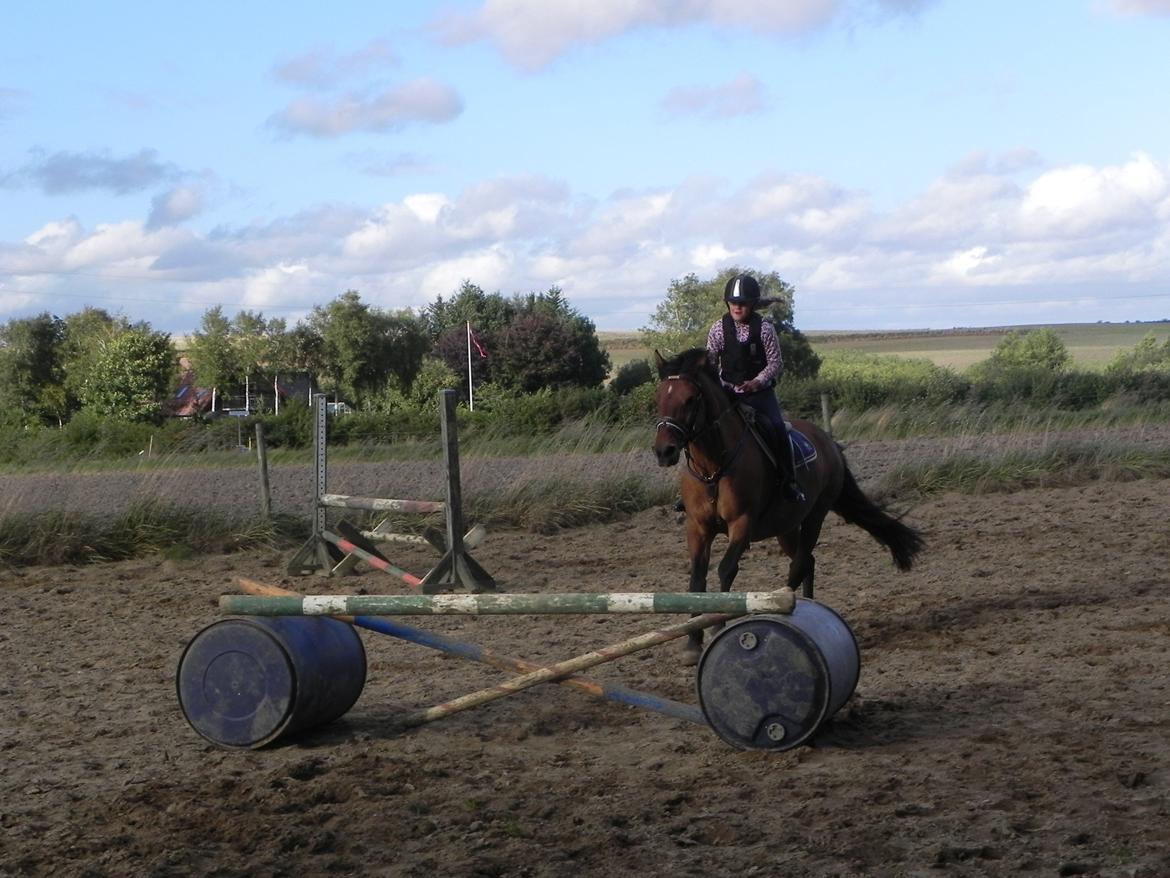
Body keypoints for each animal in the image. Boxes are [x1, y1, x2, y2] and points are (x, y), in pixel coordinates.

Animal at [650, 346, 921, 664]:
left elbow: (726, 570)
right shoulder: (698, 527)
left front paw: (717, 627)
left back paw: (791, 611)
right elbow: (696, 580)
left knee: (800, 562)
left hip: (815, 515)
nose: (664, 451)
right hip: (786, 527)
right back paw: (807, 607)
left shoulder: (742, 524)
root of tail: (828, 442)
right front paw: (692, 642)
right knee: (806, 562)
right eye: (660, 397)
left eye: (691, 399)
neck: (713, 467)